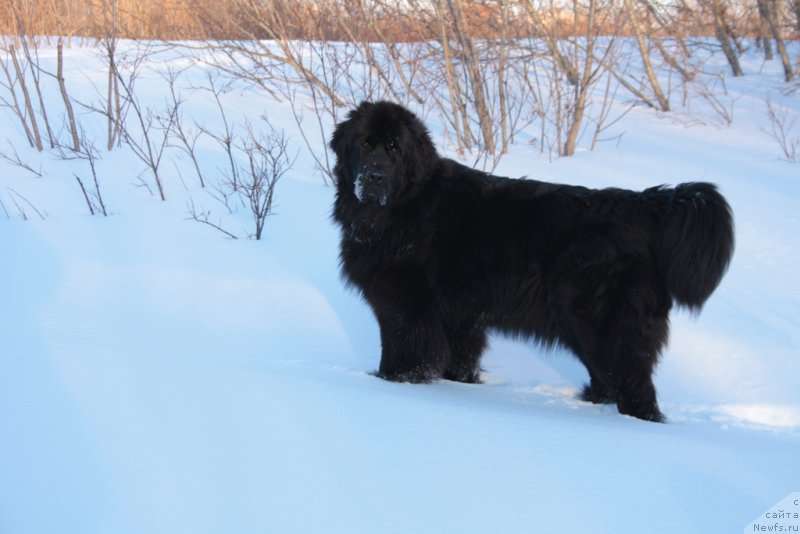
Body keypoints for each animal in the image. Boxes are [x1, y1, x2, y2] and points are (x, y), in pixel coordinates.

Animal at [328, 100, 736, 422]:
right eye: (364, 145)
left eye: (395, 150)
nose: (375, 175)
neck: (403, 207)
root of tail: (643, 205)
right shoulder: (460, 317)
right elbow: (458, 359)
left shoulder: (405, 308)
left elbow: (401, 353)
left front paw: (392, 384)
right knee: (608, 380)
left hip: (604, 327)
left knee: (636, 388)